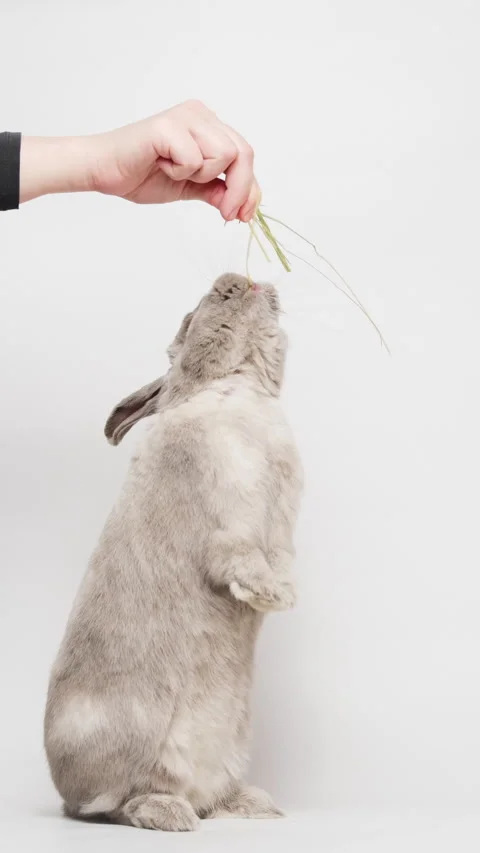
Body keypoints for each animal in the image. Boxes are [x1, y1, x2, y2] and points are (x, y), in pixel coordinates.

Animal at [44, 273, 303, 831]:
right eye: (188, 323)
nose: (237, 281)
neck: (236, 387)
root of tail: (66, 796)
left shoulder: (281, 528)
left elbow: (282, 558)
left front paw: (286, 595)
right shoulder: (228, 518)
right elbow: (240, 556)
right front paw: (269, 596)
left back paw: (253, 805)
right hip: (131, 748)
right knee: (117, 804)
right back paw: (169, 814)